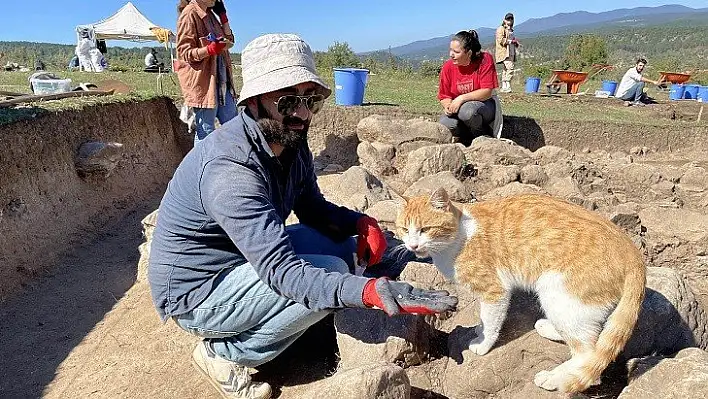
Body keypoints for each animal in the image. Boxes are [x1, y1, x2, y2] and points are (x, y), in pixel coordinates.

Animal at [398, 190, 648, 394]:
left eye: (425, 230)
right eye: (404, 229)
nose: (412, 246)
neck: (460, 234)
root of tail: (634, 253)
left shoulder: (495, 291)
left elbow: (491, 322)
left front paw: (482, 343)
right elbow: (483, 319)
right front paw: (479, 328)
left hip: (555, 291)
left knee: (587, 355)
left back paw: (554, 378)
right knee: (591, 339)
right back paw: (551, 329)